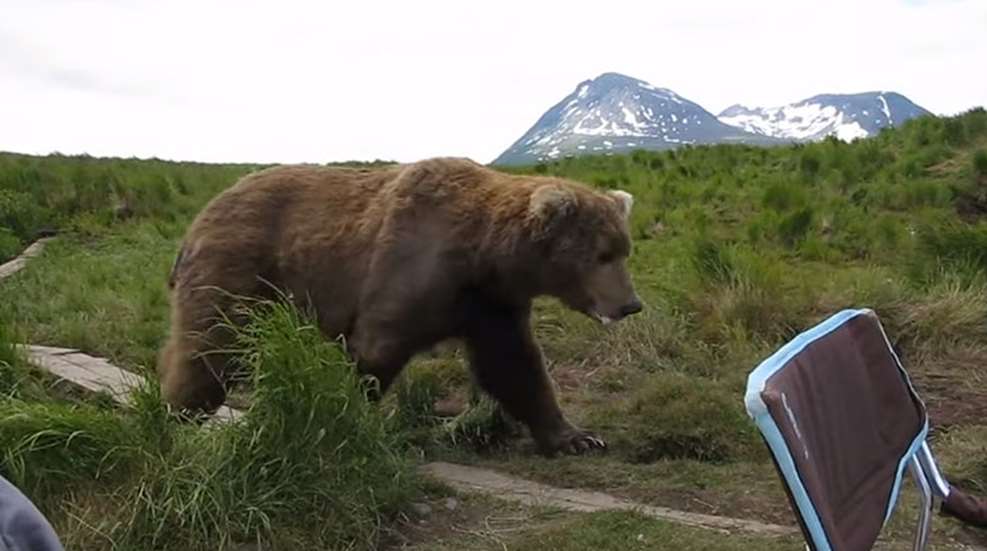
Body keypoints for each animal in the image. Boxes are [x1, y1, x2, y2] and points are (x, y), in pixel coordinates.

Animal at [159, 157, 643, 456]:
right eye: (602, 254)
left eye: (624, 250)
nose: (630, 304)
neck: (484, 256)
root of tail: (200, 216)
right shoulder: (408, 269)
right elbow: (375, 350)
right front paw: (343, 421)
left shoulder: (490, 304)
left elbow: (514, 364)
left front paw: (576, 437)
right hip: (240, 268)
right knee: (211, 347)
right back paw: (174, 417)